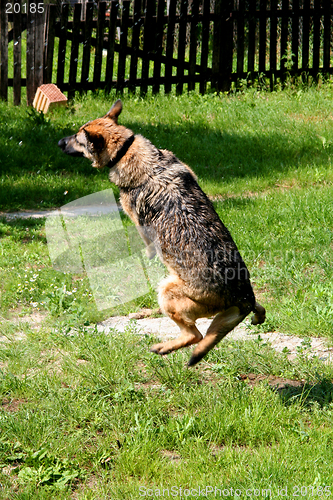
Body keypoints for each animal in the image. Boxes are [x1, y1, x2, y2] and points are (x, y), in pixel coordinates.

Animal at [58, 100, 264, 368]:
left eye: (77, 138)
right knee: (255, 310)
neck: (126, 149)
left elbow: (146, 243)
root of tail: (243, 296)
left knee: (195, 335)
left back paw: (163, 347)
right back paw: (256, 315)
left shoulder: (136, 220)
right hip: (234, 302)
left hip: (166, 291)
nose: (59, 142)